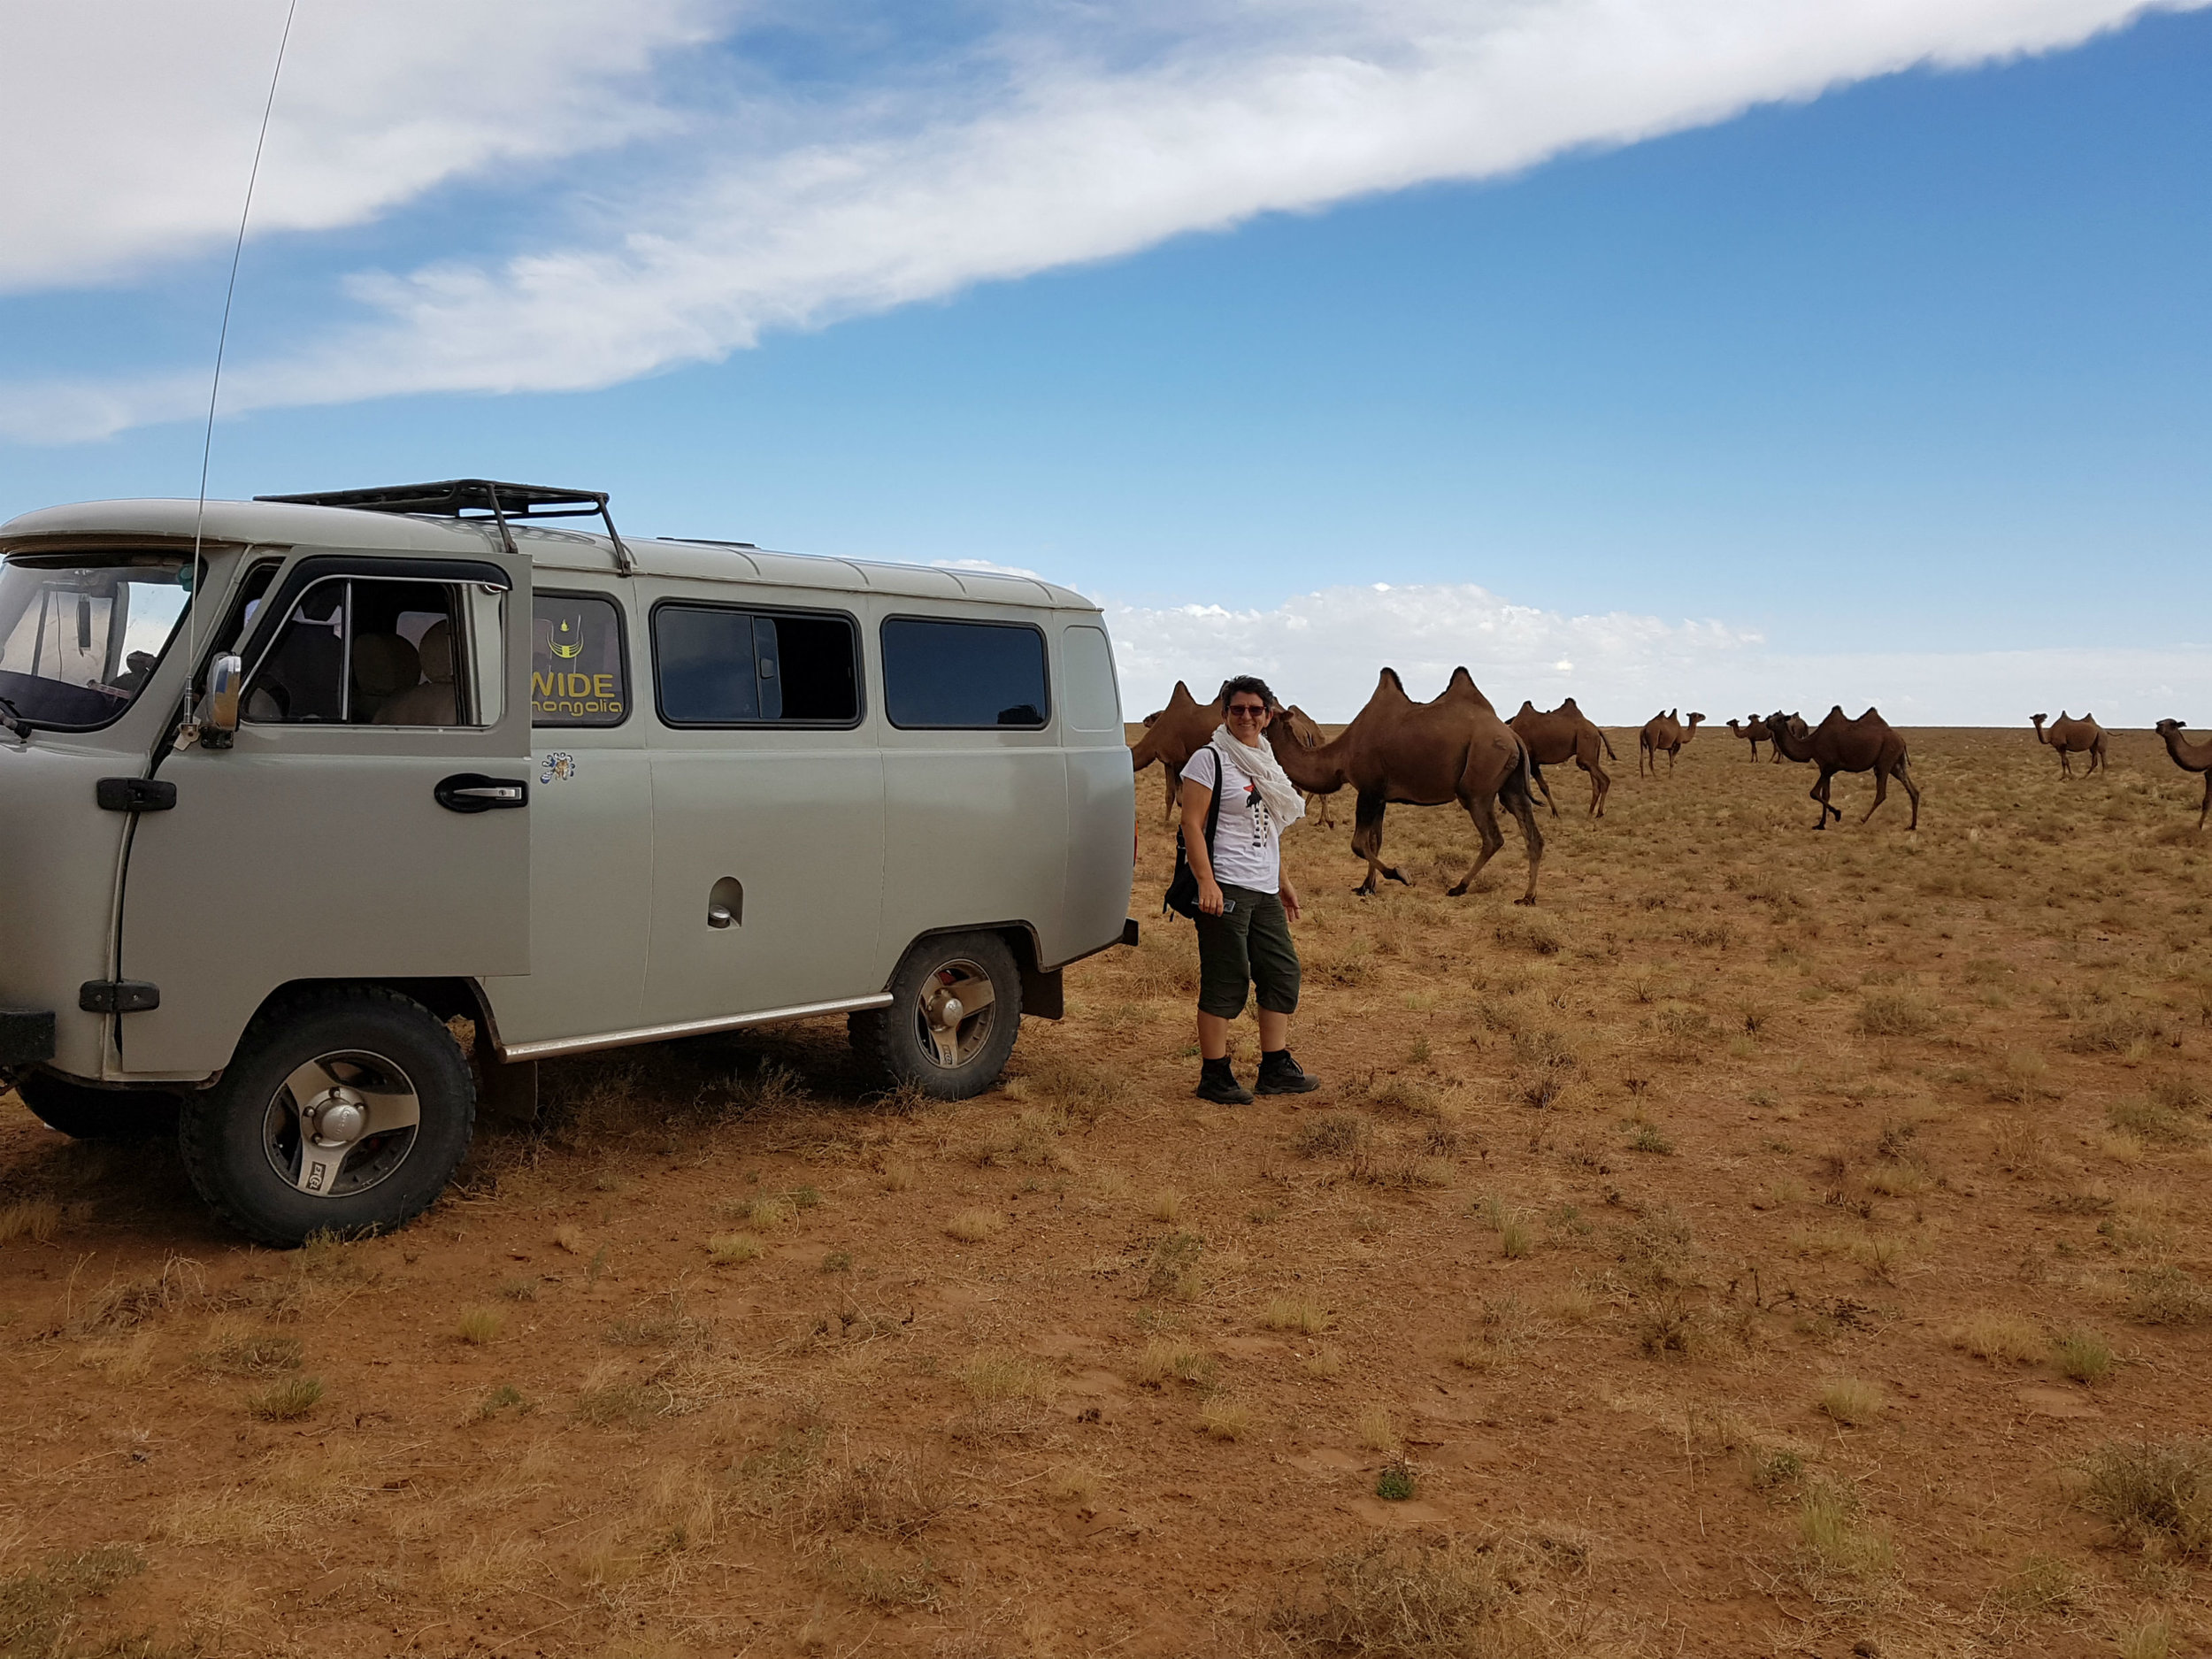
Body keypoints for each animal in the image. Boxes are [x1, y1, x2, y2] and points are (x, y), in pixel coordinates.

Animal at [1124, 681, 1230, 827]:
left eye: (1154, 716)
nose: (1145, 720)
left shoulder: (1180, 760)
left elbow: (1181, 798)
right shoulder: (1167, 761)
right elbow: (1169, 795)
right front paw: (1165, 821)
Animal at [1513, 699, 1619, 823]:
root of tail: (1597, 729)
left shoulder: (1532, 761)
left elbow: (1543, 787)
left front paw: (1555, 814)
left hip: (1586, 746)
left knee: (1604, 780)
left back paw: (1599, 813)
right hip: (1592, 756)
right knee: (1596, 784)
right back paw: (1589, 814)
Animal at [1761, 708, 1920, 832]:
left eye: (1780, 719)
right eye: (1771, 716)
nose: (1768, 722)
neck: (1812, 744)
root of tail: (1902, 740)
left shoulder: (1831, 766)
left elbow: (1814, 793)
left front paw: (1837, 814)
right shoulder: (1823, 767)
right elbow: (1825, 795)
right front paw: (1821, 824)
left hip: (1885, 760)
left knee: (1881, 793)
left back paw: (1862, 819)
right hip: (1896, 764)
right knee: (1913, 790)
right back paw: (1912, 826)